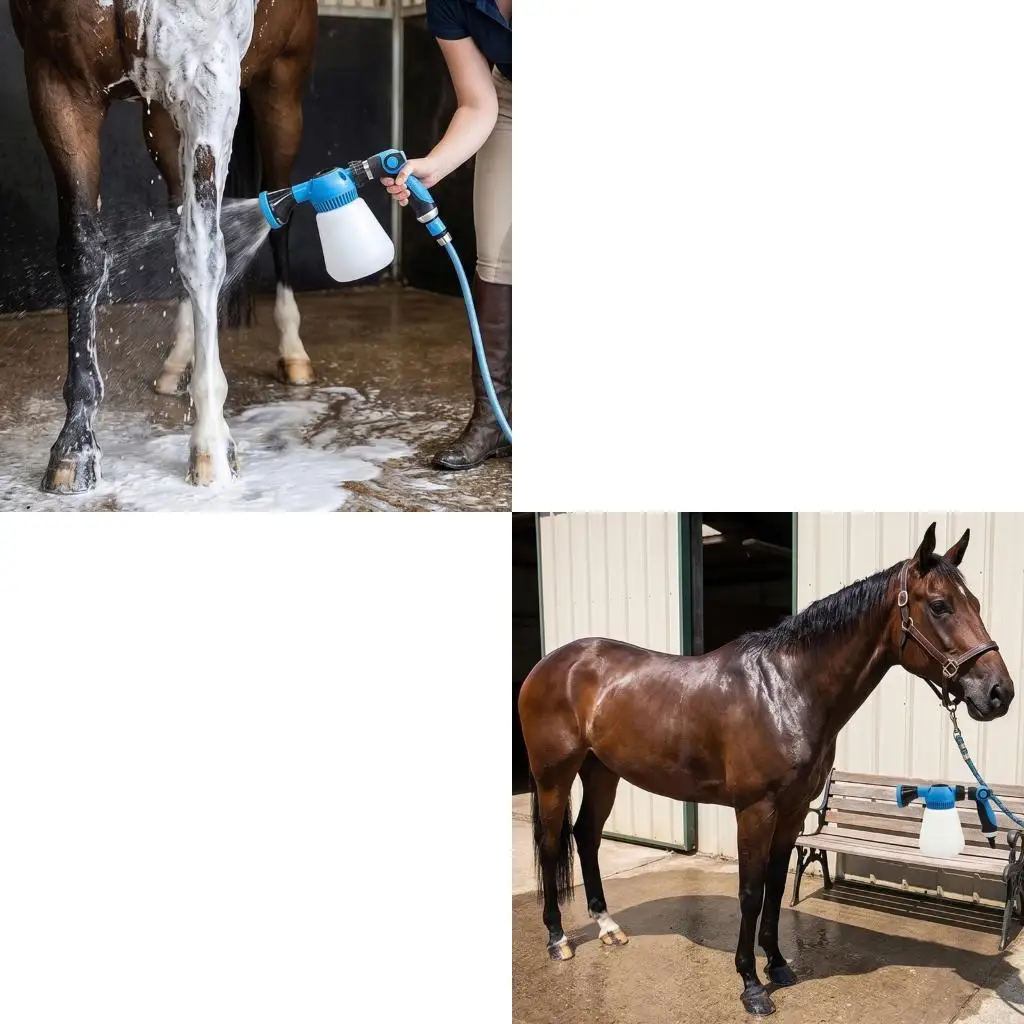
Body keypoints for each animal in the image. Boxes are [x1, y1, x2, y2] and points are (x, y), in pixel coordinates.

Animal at [11, 0, 318, 492]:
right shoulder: (57, 81)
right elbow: (82, 255)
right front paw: (75, 445)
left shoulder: (209, 77)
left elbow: (203, 251)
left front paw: (212, 443)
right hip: (161, 116)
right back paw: (177, 360)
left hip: (281, 92)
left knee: (280, 213)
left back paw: (293, 351)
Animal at [517, 523, 1015, 1017]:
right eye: (940, 605)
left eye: (975, 603)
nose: (999, 692)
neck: (786, 690)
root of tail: (551, 663)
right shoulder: (756, 810)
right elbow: (751, 892)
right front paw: (751, 984)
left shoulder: (793, 811)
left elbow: (775, 886)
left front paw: (777, 963)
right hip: (554, 776)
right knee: (550, 843)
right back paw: (558, 939)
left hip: (602, 772)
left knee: (586, 836)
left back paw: (607, 927)